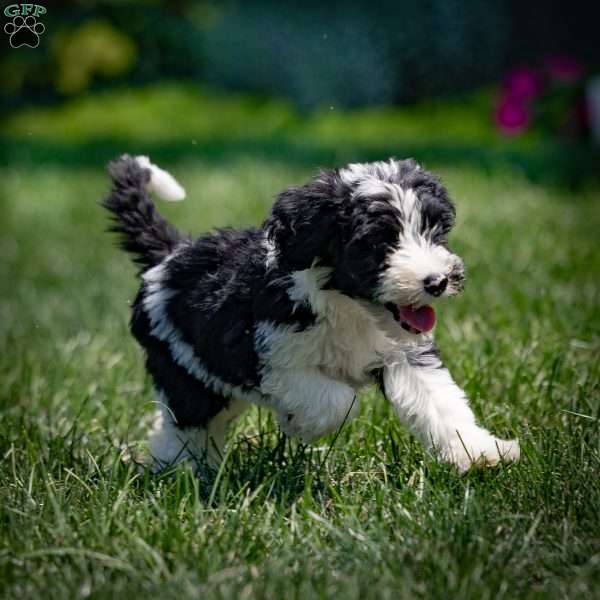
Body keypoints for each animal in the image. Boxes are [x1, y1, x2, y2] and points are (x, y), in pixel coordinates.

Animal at [103, 155, 520, 474]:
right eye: (379, 242)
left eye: (433, 230)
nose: (436, 281)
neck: (349, 305)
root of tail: (171, 254)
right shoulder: (268, 359)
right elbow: (339, 401)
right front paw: (298, 426)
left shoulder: (404, 355)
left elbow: (441, 401)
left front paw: (479, 452)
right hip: (185, 368)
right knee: (189, 419)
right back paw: (182, 469)